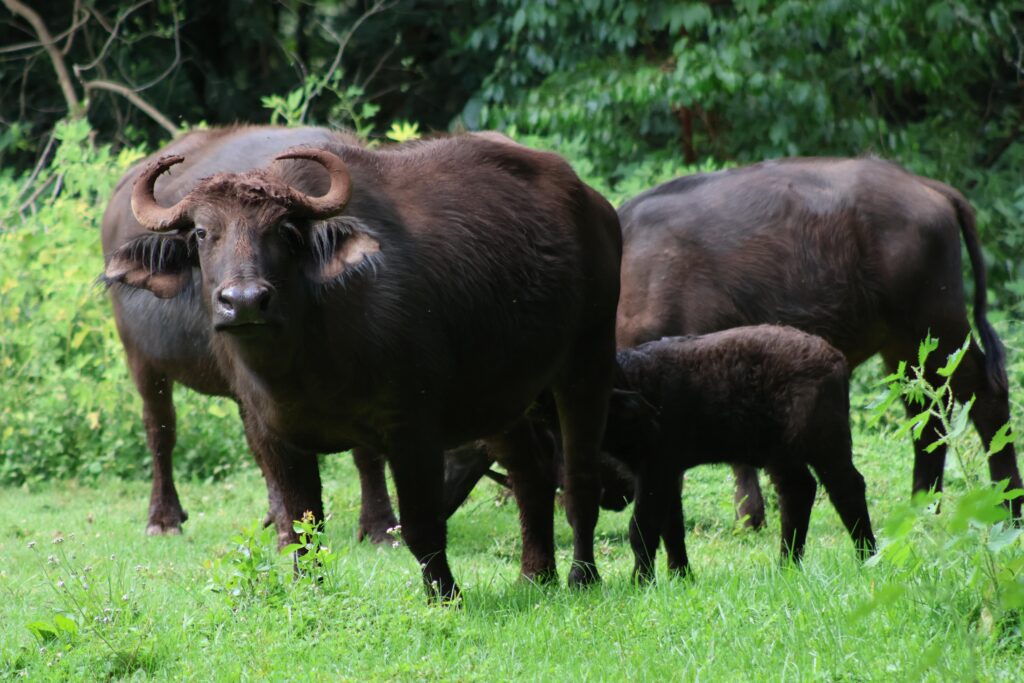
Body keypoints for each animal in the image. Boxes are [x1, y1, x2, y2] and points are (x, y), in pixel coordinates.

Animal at [103, 127, 621, 598]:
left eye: (283, 232)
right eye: (202, 233)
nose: (244, 301)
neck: (307, 355)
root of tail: (596, 206)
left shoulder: (413, 428)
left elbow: (420, 525)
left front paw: (445, 595)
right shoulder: (275, 435)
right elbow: (303, 529)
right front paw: (309, 593)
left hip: (587, 362)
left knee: (578, 479)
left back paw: (582, 576)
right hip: (502, 393)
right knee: (532, 470)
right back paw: (536, 574)